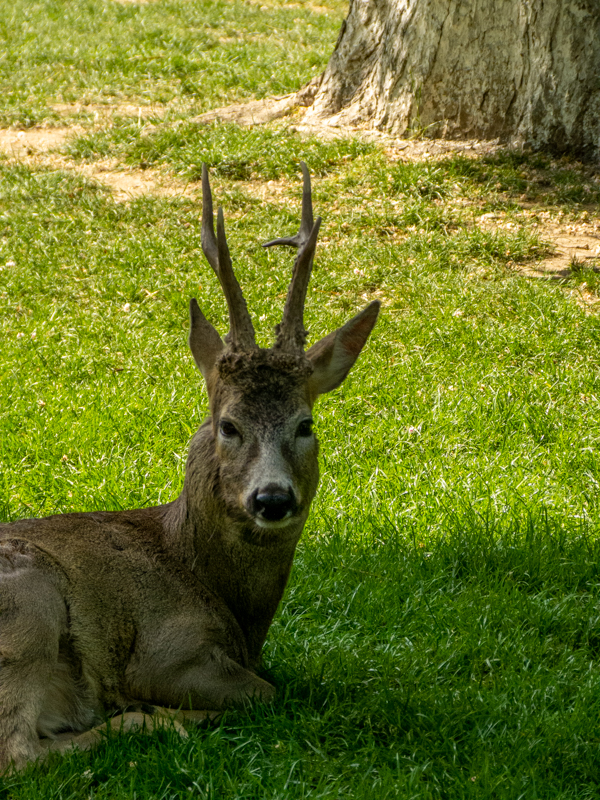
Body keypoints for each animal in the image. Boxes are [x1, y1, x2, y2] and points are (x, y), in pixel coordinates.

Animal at [0, 163, 379, 773]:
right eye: (228, 425)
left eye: (305, 425)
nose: (273, 498)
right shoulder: (165, 652)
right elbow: (268, 692)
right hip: (30, 603)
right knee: (19, 753)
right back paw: (154, 722)